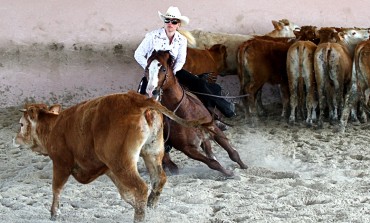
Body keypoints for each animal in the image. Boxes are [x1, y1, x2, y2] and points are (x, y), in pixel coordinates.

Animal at [14, 91, 210, 223]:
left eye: (21, 124)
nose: (15, 139)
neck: (54, 126)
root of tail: (136, 99)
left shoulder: (61, 163)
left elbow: (56, 188)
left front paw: (54, 213)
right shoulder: (107, 168)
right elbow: (124, 193)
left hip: (122, 161)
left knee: (140, 187)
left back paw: (140, 216)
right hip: (151, 153)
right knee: (158, 179)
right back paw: (151, 205)